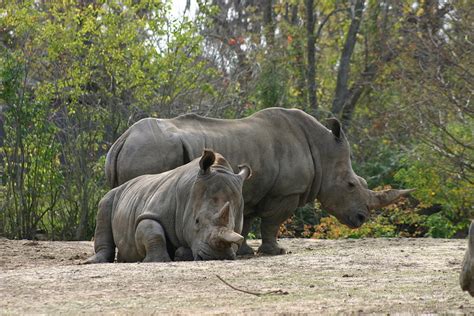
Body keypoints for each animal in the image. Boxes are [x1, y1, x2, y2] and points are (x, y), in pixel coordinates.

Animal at [84, 149, 252, 262]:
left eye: (235, 226)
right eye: (197, 221)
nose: (217, 256)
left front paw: (181, 253)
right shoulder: (152, 213)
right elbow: (153, 231)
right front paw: (158, 260)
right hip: (113, 195)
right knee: (104, 206)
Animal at [104, 107, 412, 256]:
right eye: (350, 184)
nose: (361, 218)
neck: (322, 149)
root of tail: (122, 140)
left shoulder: (251, 189)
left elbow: (246, 222)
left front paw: (243, 251)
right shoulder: (286, 193)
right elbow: (272, 223)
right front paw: (276, 252)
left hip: (138, 149)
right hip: (150, 150)